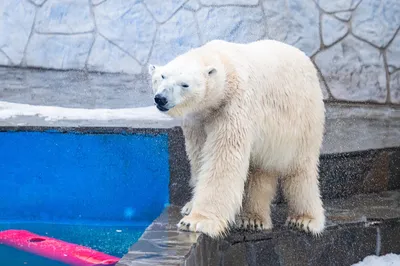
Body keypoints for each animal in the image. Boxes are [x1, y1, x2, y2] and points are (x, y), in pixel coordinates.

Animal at [147, 39, 324, 237]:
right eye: (162, 77)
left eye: (184, 84)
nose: (161, 98)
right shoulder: (198, 119)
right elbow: (199, 156)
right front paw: (190, 206)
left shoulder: (234, 106)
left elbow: (223, 158)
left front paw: (196, 221)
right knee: (259, 170)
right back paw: (253, 219)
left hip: (303, 118)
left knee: (300, 168)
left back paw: (304, 220)